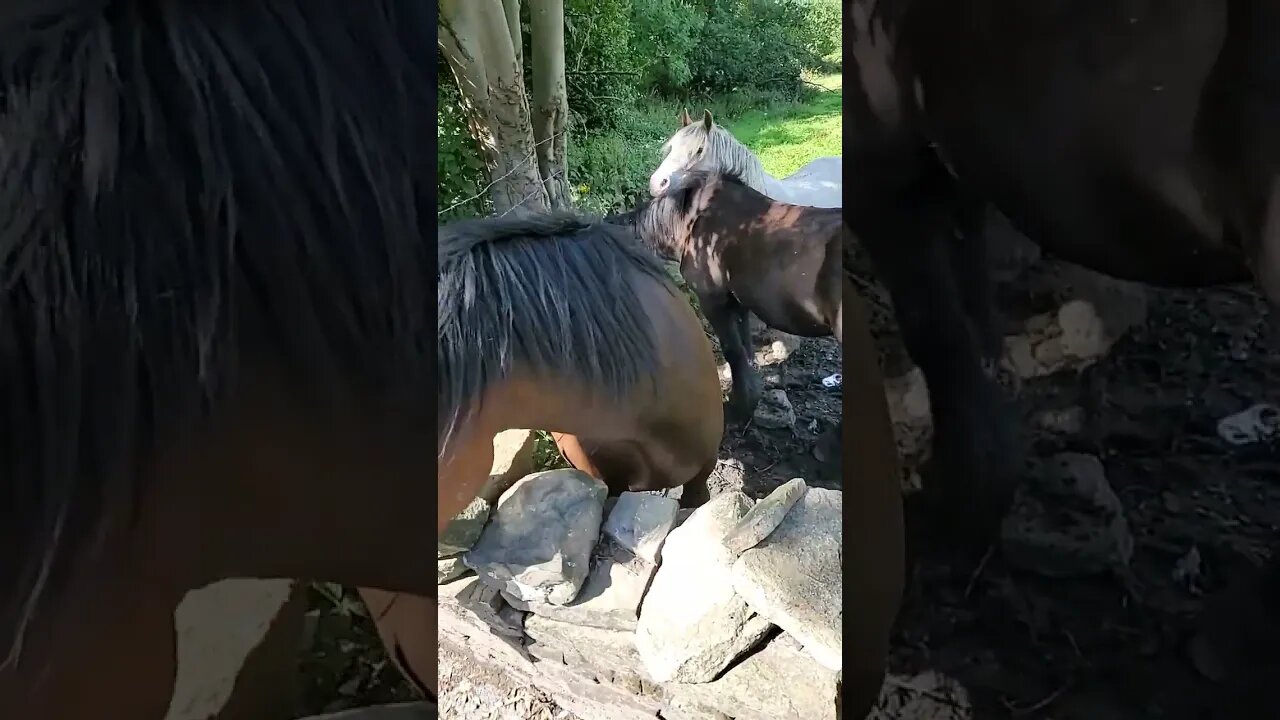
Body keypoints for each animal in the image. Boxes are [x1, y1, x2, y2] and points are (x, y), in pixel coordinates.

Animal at [606, 170, 839, 422]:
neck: (690, 222)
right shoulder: (738, 302)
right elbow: (745, 350)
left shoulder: (713, 301)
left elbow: (733, 351)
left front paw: (739, 406)